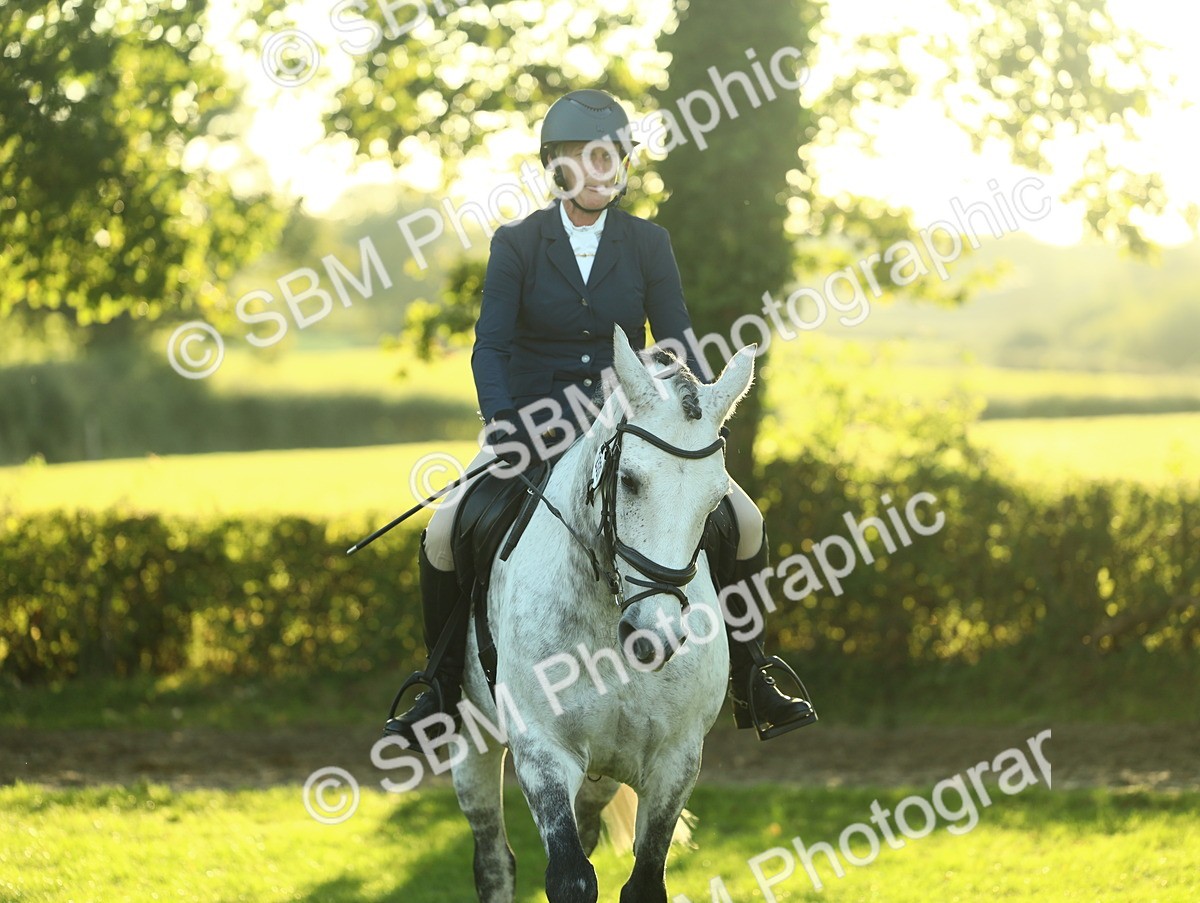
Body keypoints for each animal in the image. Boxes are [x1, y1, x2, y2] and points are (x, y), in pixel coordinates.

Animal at [450, 330, 757, 903]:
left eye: (716, 498)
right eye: (630, 480)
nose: (655, 638)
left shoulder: (676, 761)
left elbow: (644, 880)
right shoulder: (541, 751)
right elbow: (570, 877)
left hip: (608, 768)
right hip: (472, 738)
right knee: (493, 861)